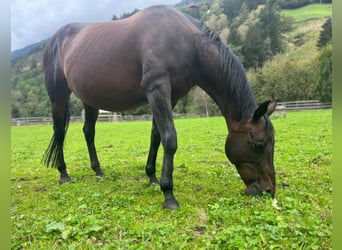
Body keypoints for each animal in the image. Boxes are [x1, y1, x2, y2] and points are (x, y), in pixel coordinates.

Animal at [43, 4, 278, 210]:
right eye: (258, 145)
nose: (269, 191)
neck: (185, 43)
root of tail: (55, 39)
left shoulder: (170, 97)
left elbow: (156, 137)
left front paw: (152, 177)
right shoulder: (157, 90)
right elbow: (170, 139)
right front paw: (169, 194)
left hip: (90, 101)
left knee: (88, 132)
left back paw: (98, 171)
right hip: (58, 98)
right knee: (59, 132)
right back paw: (64, 174)